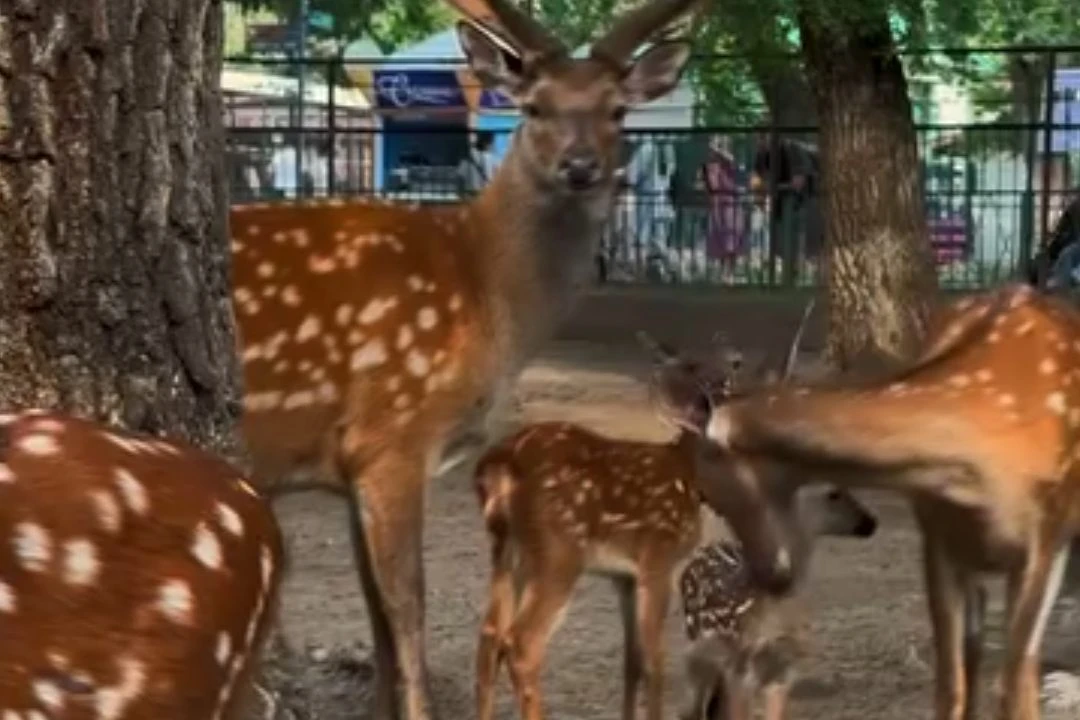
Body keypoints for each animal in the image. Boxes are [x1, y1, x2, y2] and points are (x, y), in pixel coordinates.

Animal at [225, 1, 708, 720]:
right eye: (534, 105)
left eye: (618, 109)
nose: (580, 166)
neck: (485, 296)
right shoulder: (394, 432)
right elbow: (409, 612)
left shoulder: (350, 466)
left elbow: (381, 629)